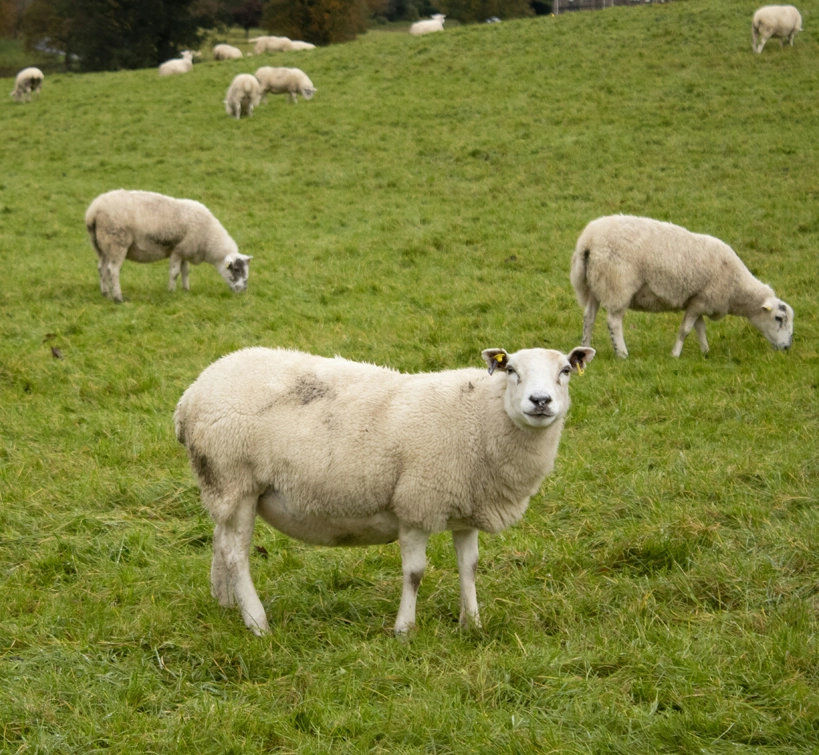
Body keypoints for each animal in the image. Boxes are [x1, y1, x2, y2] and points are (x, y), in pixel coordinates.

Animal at [85, 189, 252, 303]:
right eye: (236, 270)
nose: (243, 291)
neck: (209, 238)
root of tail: (93, 211)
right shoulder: (177, 250)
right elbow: (175, 273)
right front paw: (171, 292)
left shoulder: (185, 250)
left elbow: (185, 271)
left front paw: (186, 290)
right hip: (117, 242)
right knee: (112, 270)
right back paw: (118, 298)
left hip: (101, 246)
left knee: (101, 268)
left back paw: (105, 294)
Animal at [174, 344, 595, 636]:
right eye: (511, 370)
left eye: (565, 371)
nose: (540, 401)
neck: (479, 418)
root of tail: (191, 394)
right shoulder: (415, 504)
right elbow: (415, 573)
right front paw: (404, 629)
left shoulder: (465, 507)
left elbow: (469, 567)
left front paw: (471, 623)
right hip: (234, 478)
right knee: (235, 554)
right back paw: (257, 622)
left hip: (223, 487)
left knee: (220, 541)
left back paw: (225, 604)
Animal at [570, 215, 794, 358]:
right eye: (779, 318)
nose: (786, 347)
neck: (737, 288)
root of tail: (587, 242)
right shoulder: (701, 301)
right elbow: (685, 330)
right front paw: (675, 354)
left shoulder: (698, 301)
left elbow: (700, 328)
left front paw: (705, 352)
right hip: (618, 284)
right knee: (614, 321)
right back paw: (622, 353)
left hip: (595, 283)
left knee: (589, 318)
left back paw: (584, 348)